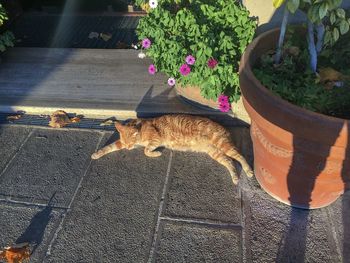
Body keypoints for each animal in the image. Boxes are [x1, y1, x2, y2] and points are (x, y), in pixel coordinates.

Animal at [91, 114, 253, 185]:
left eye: (131, 141)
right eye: (125, 143)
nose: (128, 148)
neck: (141, 129)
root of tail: (224, 128)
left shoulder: (156, 140)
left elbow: (146, 151)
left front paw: (156, 153)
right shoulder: (120, 144)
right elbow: (109, 147)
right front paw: (96, 154)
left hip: (222, 145)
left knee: (240, 156)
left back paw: (249, 171)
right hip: (215, 152)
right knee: (229, 161)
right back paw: (235, 177)